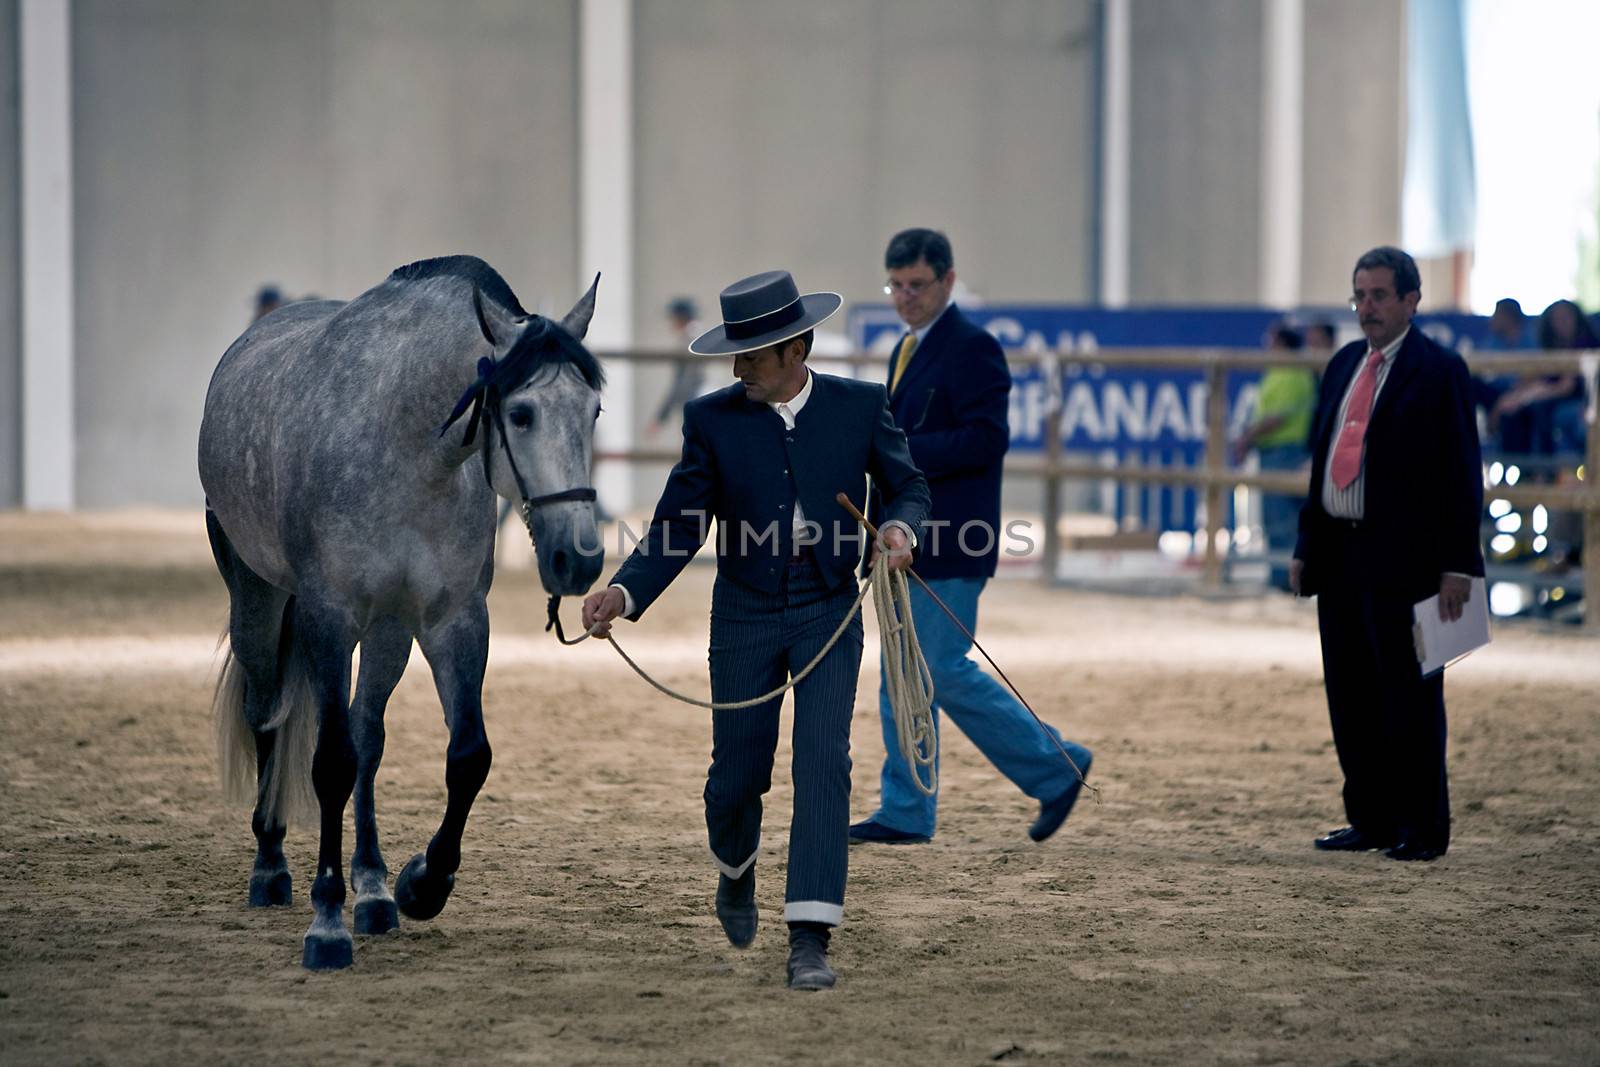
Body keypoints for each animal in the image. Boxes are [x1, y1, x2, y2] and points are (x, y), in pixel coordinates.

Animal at [200, 255, 601, 966]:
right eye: (521, 413)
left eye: (595, 409)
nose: (577, 560)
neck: (406, 446)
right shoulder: (329, 618)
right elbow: (330, 762)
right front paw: (326, 922)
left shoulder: (453, 620)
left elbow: (466, 757)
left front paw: (420, 884)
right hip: (256, 598)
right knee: (266, 713)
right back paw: (272, 866)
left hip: (389, 629)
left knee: (368, 735)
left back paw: (373, 889)